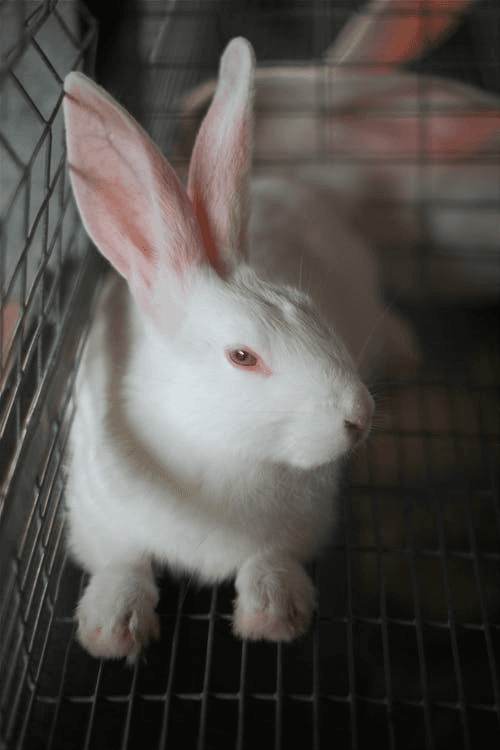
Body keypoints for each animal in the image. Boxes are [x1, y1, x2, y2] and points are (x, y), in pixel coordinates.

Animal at [63, 36, 377, 663]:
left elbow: (269, 561)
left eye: (310, 309)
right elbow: (122, 564)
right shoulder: (99, 516)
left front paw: (274, 617)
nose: (361, 417)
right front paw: (111, 629)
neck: (215, 451)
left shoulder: (293, 535)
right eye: (243, 357)